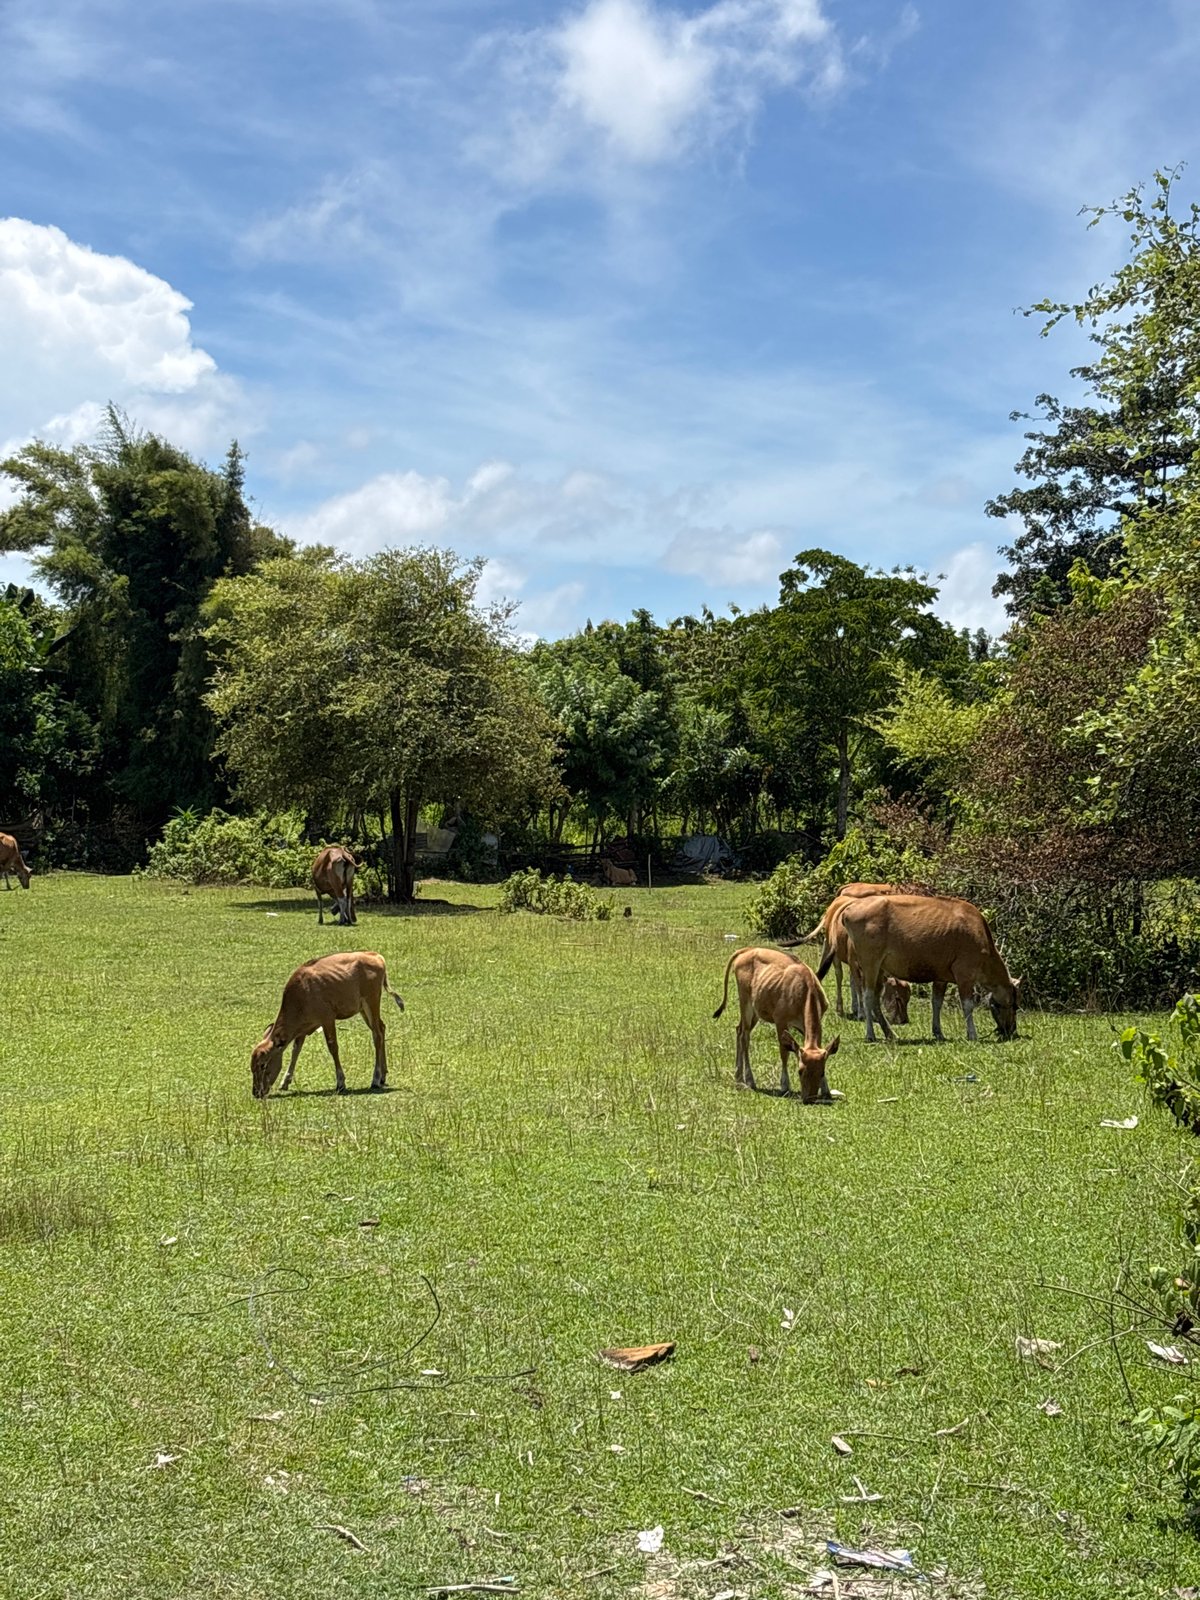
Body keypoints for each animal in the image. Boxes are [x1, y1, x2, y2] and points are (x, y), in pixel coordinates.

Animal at [251, 950, 404, 1099]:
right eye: (252, 1066)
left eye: (263, 1065)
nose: (256, 1092)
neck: (302, 994)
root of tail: (377, 956)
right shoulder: (303, 1029)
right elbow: (296, 1050)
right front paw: (285, 1082)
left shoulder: (327, 1018)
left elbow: (333, 1047)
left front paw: (341, 1083)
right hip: (362, 1009)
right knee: (381, 1028)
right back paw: (383, 1076)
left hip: (371, 1001)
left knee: (377, 1035)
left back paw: (375, 1079)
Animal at [713, 946, 840, 1101]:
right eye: (800, 1071)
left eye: (822, 1072)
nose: (809, 1098)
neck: (805, 988)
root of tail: (747, 950)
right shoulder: (780, 1021)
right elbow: (784, 1051)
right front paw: (784, 1086)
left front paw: (826, 1089)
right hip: (746, 1003)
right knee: (744, 1037)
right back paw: (749, 1080)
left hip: (756, 1011)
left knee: (739, 1030)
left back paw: (738, 1077)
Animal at [826, 893, 1020, 1043]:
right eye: (1015, 1006)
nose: (1012, 1031)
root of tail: (850, 908)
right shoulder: (965, 974)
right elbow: (967, 1005)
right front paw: (972, 1034)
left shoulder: (941, 977)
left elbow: (936, 1003)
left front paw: (938, 1032)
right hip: (870, 964)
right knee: (867, 997)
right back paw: (870, 1034)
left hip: (880, 968)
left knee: (874, 999)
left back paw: (890, 1033)